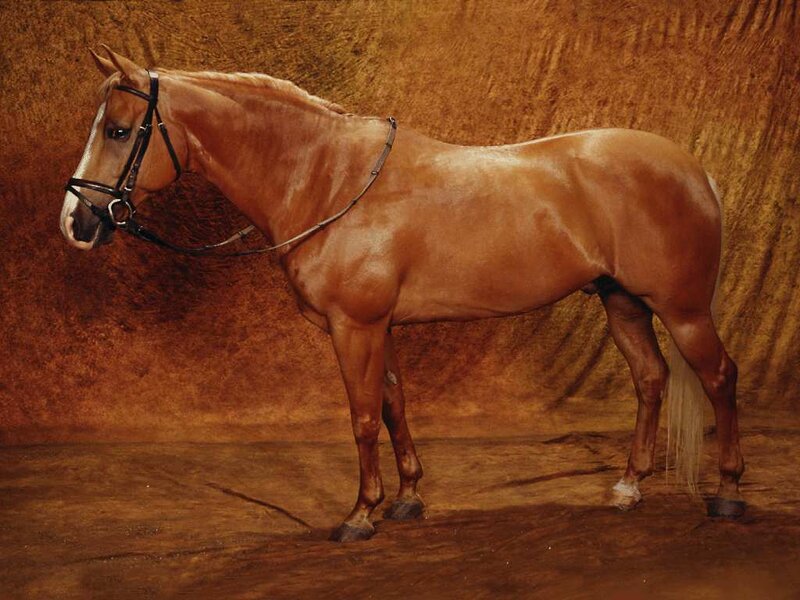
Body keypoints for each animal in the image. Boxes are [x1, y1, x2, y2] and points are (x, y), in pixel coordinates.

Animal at [60, 46, 745, 542]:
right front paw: (408, 498)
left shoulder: (354, 326)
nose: (76, 222)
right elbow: (393, 405)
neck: (329, 179)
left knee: (718, 377)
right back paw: (629, 487)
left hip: (682, 311)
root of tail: (693, 169)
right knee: (651, 379)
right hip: (622, 301)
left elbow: (363, 417)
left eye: (119, 131)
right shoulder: (379, 326)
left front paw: (361, 514)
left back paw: (728, 494)